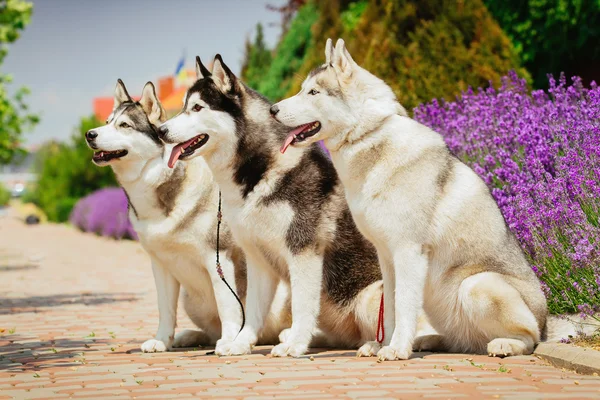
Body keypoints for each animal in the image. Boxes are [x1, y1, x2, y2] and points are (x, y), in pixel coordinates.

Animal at [86, 79, 290, 354]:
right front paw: (162, 340)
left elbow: (228, 307)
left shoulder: (219, 259)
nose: (90, 134)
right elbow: (165, 309)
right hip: (191, 301)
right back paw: (188, 336)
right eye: (107, 122)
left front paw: (228, 341)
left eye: (124, 125)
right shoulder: (160, 265)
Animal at [158, 55, 384, 356]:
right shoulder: (257, 259)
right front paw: (239, 343)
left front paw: (296, 345)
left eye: (197, 108)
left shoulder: (303, 252)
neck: (259, 172)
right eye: (183, 107)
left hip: (373, 295)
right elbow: (252, 311)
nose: (161, 131)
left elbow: (301, 305)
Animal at [274, 39, 552, 360]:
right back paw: (429, 340)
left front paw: (396, 349)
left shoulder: (409, 251)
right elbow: (391, 309)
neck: (368, 137)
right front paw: (384, 344)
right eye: (302, 89)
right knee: (461, 341)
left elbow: (404, 305)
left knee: (530, 338)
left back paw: (505, 344)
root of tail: (545, 319)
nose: (272, 109)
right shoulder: (387, 257)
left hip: (477, 285)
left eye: (313, 92)